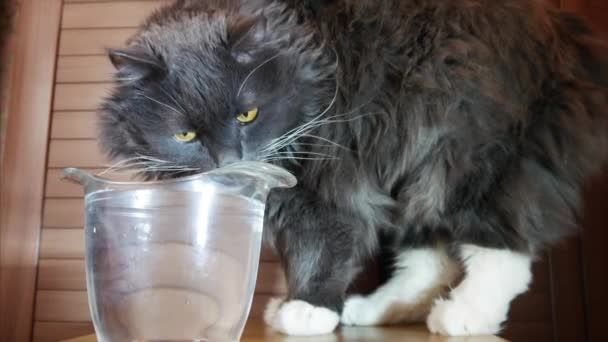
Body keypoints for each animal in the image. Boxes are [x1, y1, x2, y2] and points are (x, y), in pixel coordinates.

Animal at [100, 0, 608, 336]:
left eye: (248, 115)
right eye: (186, 136)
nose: (230, 161)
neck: (308, 60)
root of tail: (565, 33)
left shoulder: (328, 188)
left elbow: (320, 251)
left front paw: (308, 308)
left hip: (471, 160)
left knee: (503, 251)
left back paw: (464, 315)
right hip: (414, 180)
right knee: (429, 262)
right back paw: (376, 310)